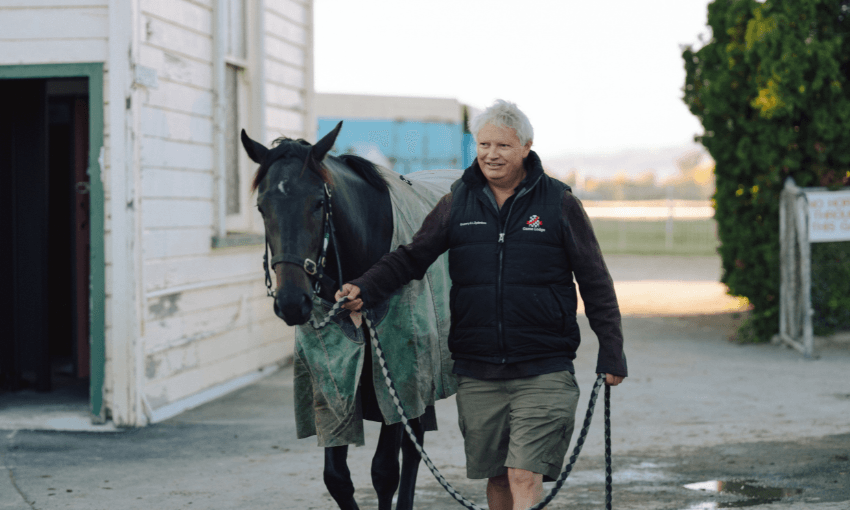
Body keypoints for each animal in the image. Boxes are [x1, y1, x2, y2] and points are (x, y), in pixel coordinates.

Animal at [241, 122, 456, 510]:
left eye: (318, 203)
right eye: (262, 207)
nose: (291, 302)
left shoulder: (399, 377)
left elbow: (384, 471)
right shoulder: (332, 381)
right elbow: (337, 477)